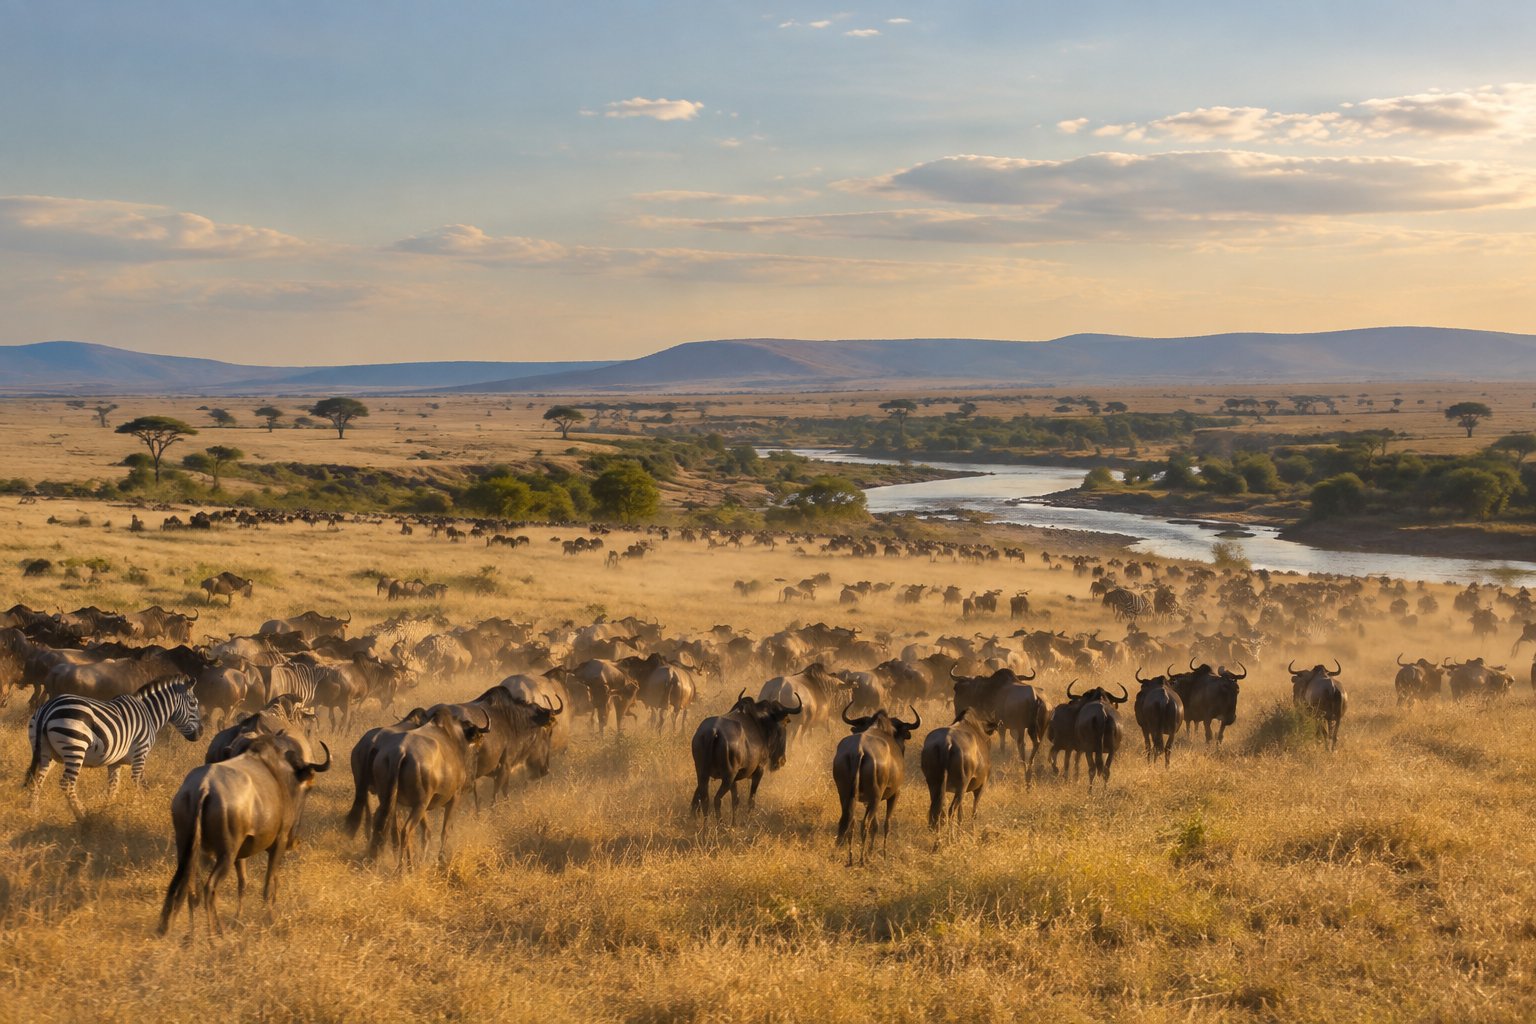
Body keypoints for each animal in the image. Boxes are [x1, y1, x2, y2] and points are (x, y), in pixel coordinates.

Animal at [26, 676, 203, 818]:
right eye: (193, 703)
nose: (201, 733)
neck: (149, 714)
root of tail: (47, 708)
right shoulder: (141, 753)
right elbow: (138, 782)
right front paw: (139, 807)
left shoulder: (115, 762)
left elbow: (113, 787)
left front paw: (107, 810)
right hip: (75, 748)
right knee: (66, 783)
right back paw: (81, 813)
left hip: (46, 753)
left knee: (37, 779)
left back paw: (34, 812)